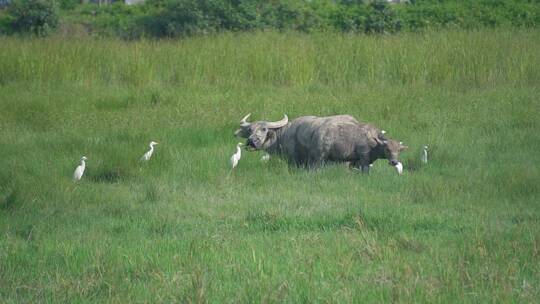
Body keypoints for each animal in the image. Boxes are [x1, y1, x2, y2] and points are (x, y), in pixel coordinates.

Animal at [234, 113, 408, 172]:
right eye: (249, 130)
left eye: (263, 129)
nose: (251, 141)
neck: (286, 134)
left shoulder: (295, 160)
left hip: (322, 158)